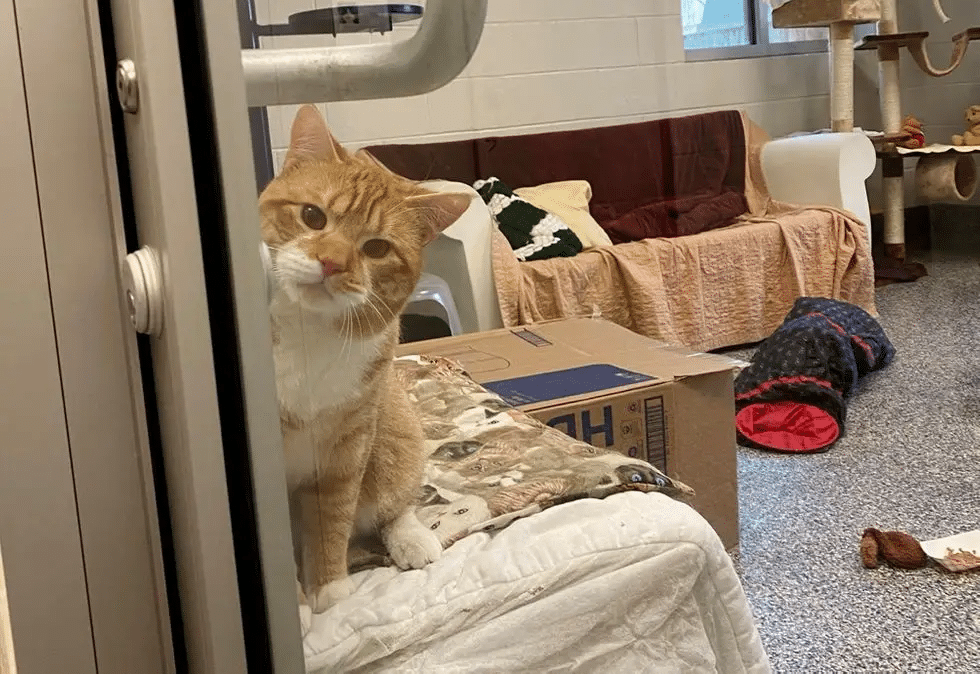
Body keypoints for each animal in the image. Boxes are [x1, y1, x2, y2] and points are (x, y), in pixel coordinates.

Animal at [258, 103, 468, 608]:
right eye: (312, 216)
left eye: (376, 247)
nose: (332, 263)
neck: (308, 334)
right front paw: (296, 606)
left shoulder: (348, 444)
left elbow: (333, 515)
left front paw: (330, 590)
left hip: (392, 428)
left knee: (393, 503)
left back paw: (412, 538)